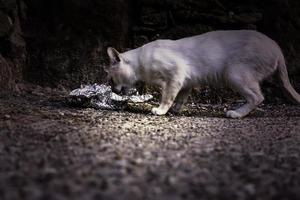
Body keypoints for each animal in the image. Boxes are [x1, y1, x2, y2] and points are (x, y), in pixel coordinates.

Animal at [105, 29, 300, 117]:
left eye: (111, 81)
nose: (113, 90)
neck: (140, 66)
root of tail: (276, 47)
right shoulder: (185, 82)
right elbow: (180, 98)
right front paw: (176, 110)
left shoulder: (175, 76)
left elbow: (167, 97)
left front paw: (160, 110)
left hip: (234, 74)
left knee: (258, 97)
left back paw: (235, 113)